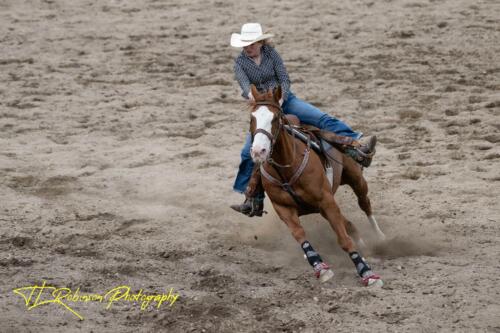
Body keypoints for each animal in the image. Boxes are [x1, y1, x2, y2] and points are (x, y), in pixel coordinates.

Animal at [248, 84, 384, 284]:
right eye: (252, 118)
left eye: (275, 119)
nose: (259, 151)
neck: (287, 168)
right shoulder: (283, 208)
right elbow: (300, 235)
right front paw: (320, 267)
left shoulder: (326, 201)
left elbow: (344, 239)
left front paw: (367, 273)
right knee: (349, 224)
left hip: (356, 179)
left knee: (365, 204)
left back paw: (380, 237)